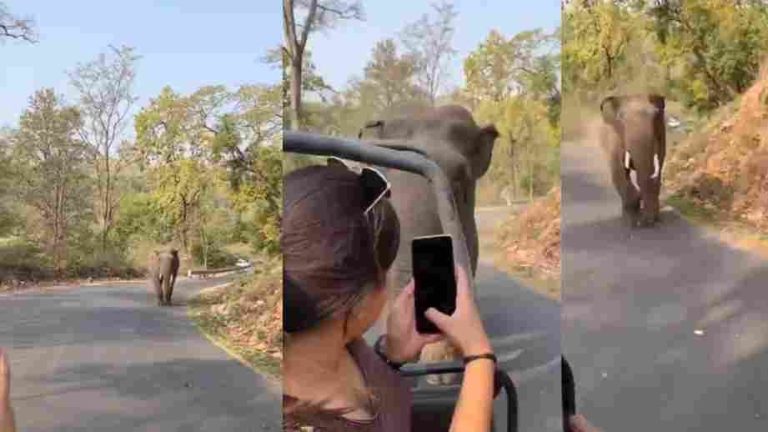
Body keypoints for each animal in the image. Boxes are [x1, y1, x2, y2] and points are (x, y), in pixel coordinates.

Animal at [599, 94, 666, 227]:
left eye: (655, 115)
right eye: (621, 118)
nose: (645, 222)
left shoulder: (661, 134)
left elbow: (657, 167)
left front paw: (652, 218)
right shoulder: (614, 138)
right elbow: (618, 170)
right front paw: (631, 218)